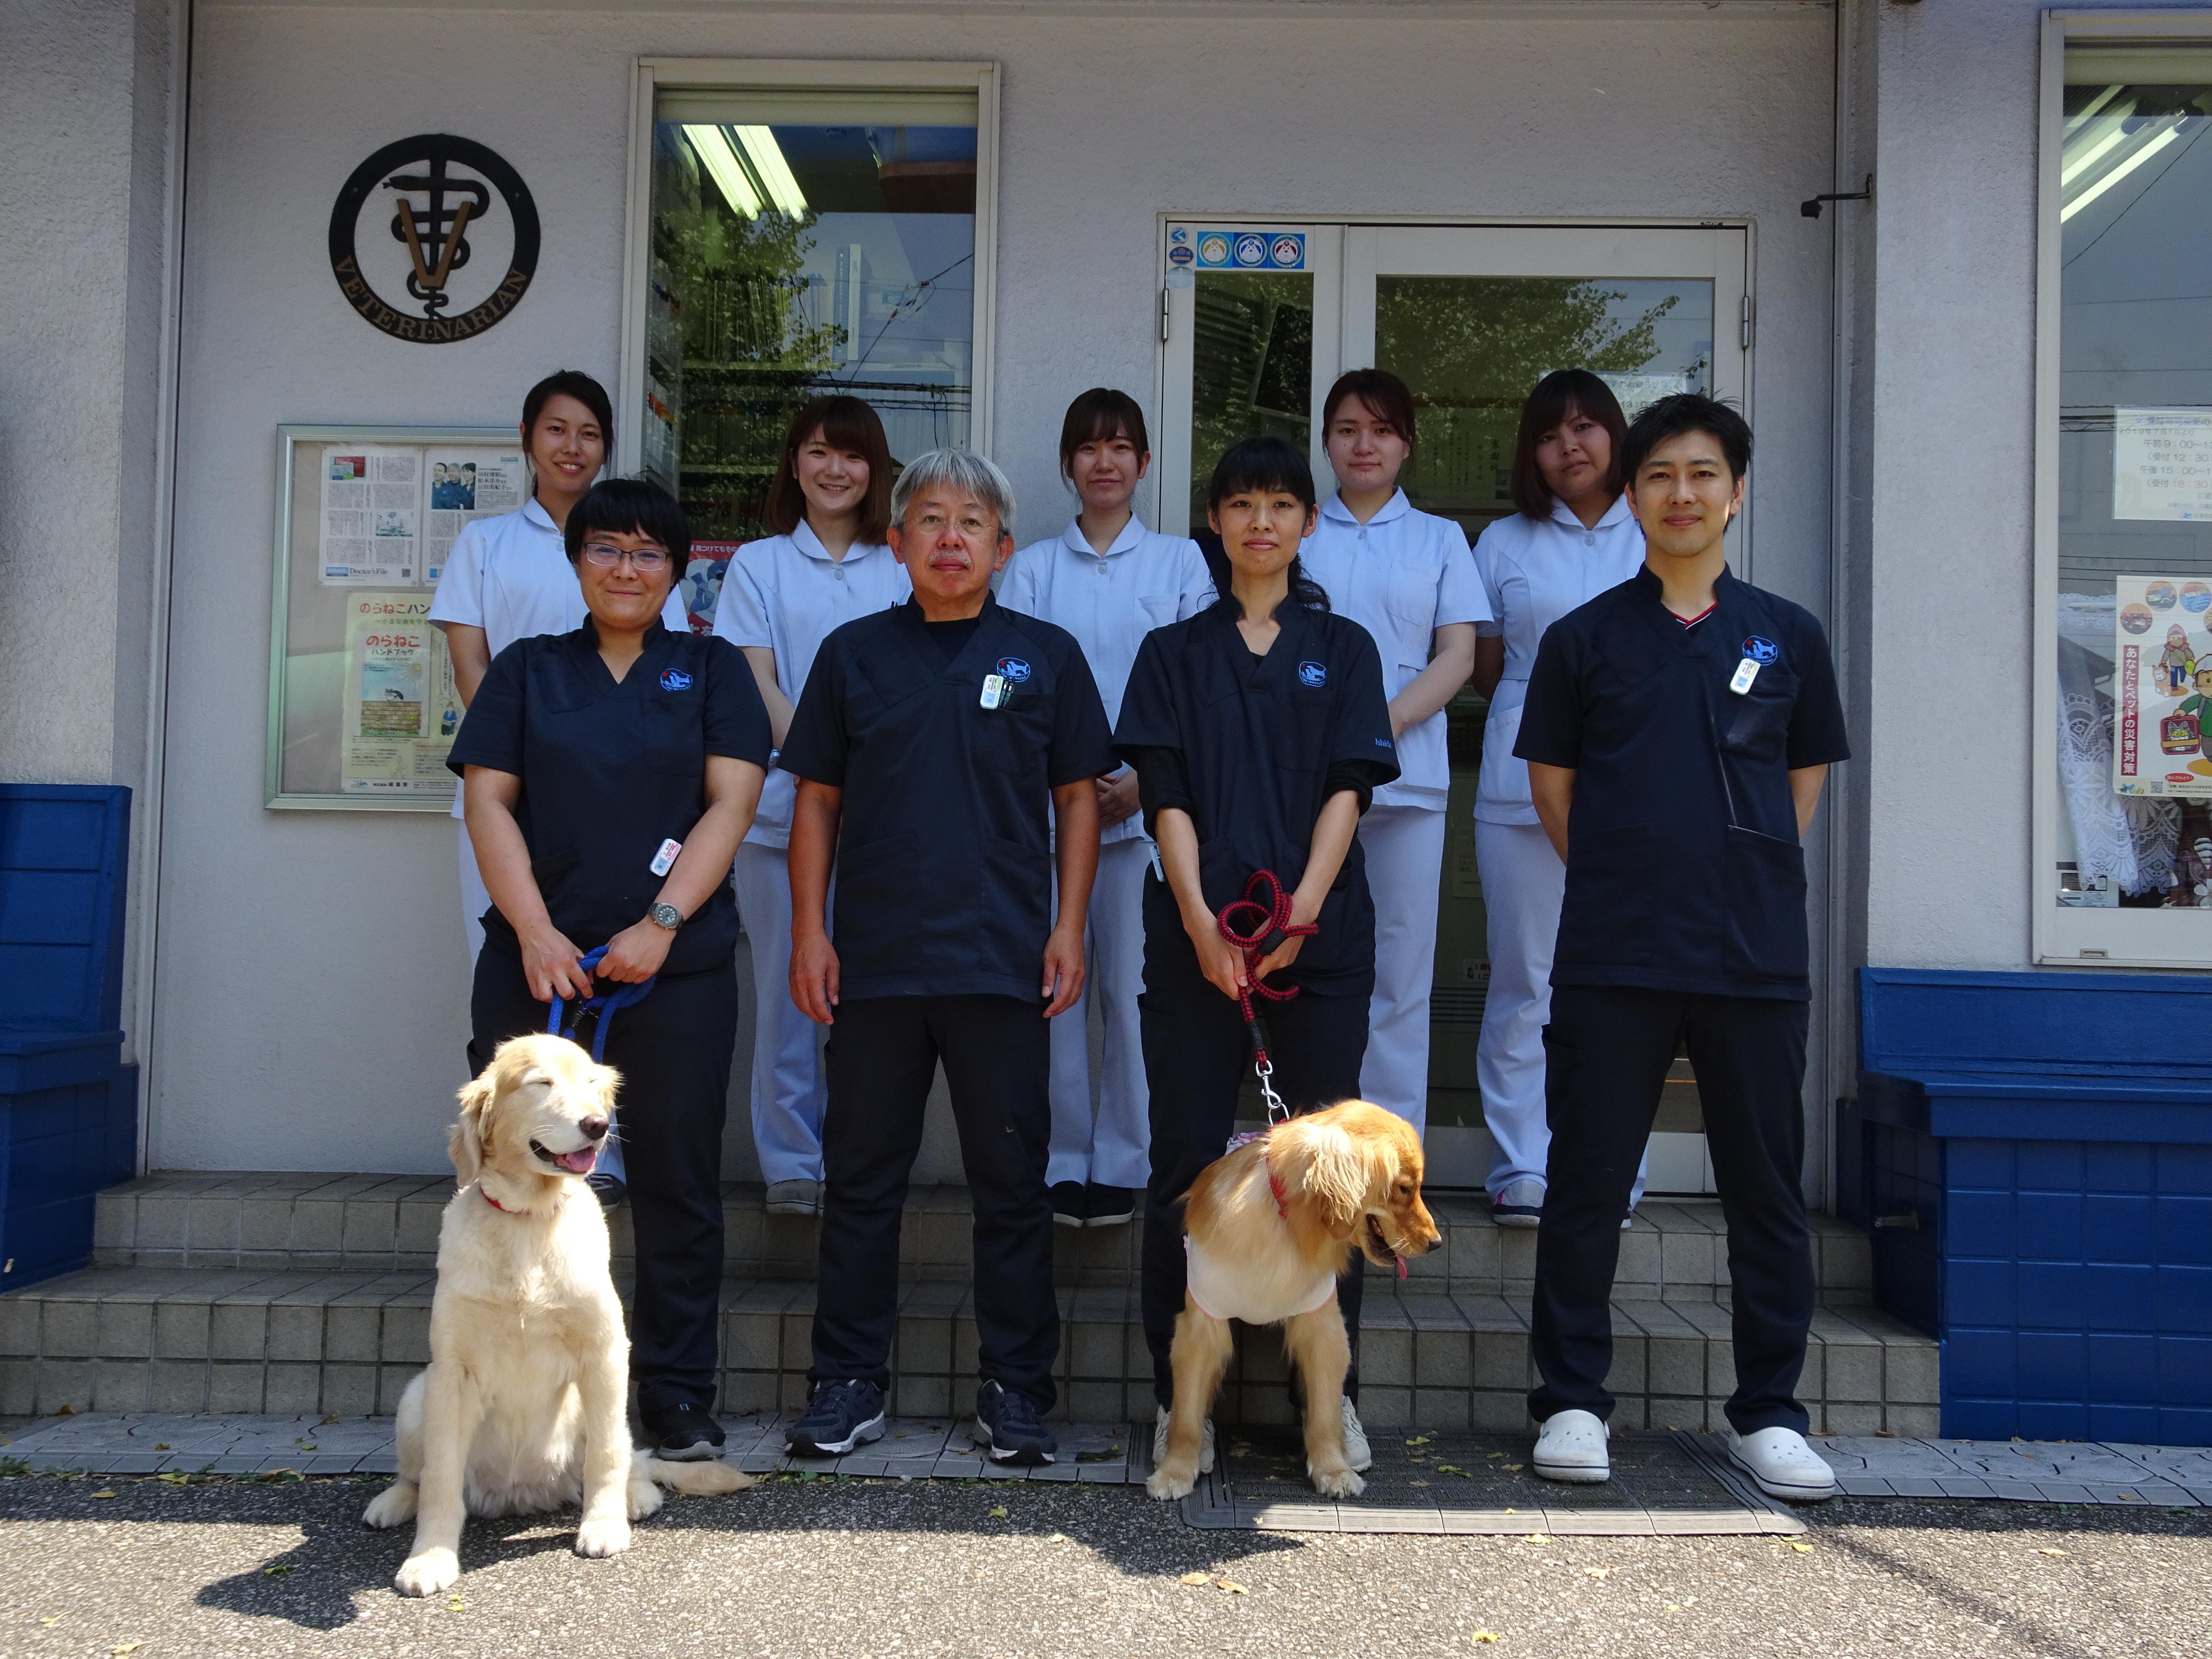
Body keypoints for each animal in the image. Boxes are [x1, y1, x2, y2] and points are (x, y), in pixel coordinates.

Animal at [358, 1040, 747, 1601]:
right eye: (541, 1084)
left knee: (626, 1455)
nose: (598, 1125)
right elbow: (440, 1479)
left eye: (591, 1084)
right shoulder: (453, 1371)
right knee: (417, 1474)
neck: (528, 1219)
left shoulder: (605, 1352)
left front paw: (604, 1525)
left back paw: (635, 1496)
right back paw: (391, 1502)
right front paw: (430, 1558)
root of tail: (522, 1495)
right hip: (417, 1396)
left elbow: (606, 1455)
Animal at [1150, 1106, 1442, 1504]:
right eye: (1404, 1188)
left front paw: (1333, 1470)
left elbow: (1324, 1413)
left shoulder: (1323, 1325)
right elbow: (1186, 1415)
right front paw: (1175, 1471)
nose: (1437, 1243)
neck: (1286, 1224)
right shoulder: (1201, 1326)